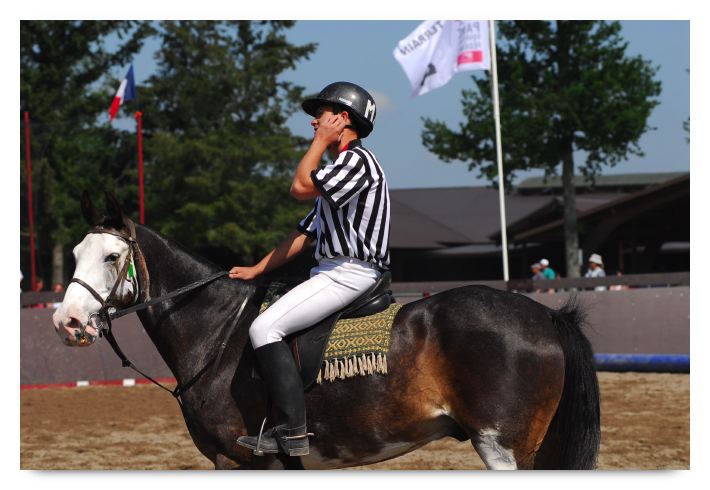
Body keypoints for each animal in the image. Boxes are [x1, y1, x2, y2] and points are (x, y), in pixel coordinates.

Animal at [52, 193, 600, 470]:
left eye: (112, 256)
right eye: (75, 253)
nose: (67, 322)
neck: (216, 332)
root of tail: (546, 316)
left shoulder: (238, 461)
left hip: (502, 446)